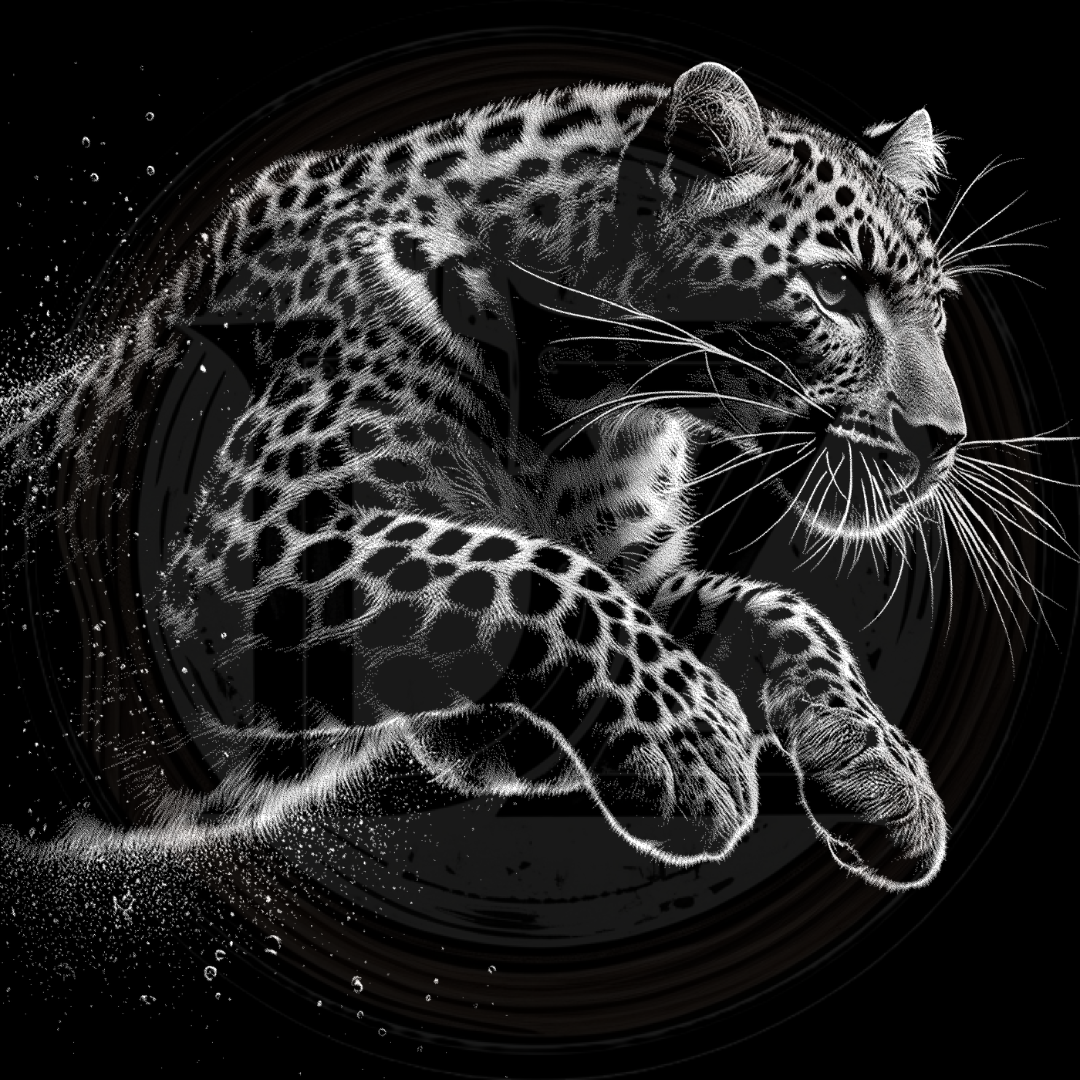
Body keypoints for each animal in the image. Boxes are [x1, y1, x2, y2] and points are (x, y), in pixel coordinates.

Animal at [53, 62, 975, 890]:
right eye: (835, 288)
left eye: (938, 311)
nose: (944, 439)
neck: (589, 408)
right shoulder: (251, 544)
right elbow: (530, 567)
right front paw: (695, 742)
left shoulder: (602, 604)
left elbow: (774, 607)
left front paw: (882, 773)